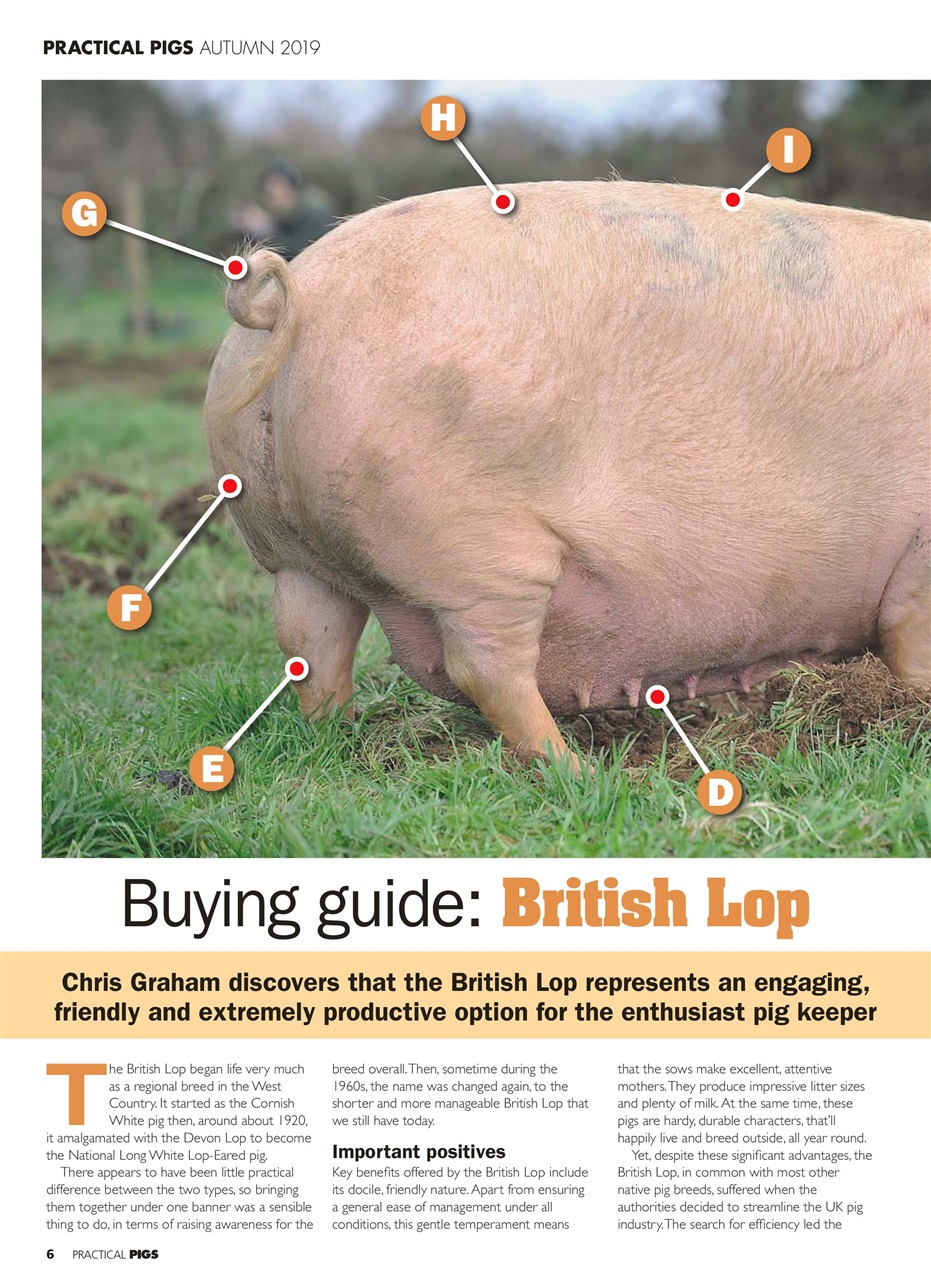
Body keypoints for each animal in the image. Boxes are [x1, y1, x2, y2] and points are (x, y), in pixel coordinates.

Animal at [204, 180, 930, 766]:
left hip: (286, 547)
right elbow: (912, 640)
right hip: (478, 550)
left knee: (312, 649)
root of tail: (296, 300)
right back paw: (578, 770)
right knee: (485, 667)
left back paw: (350, 744)